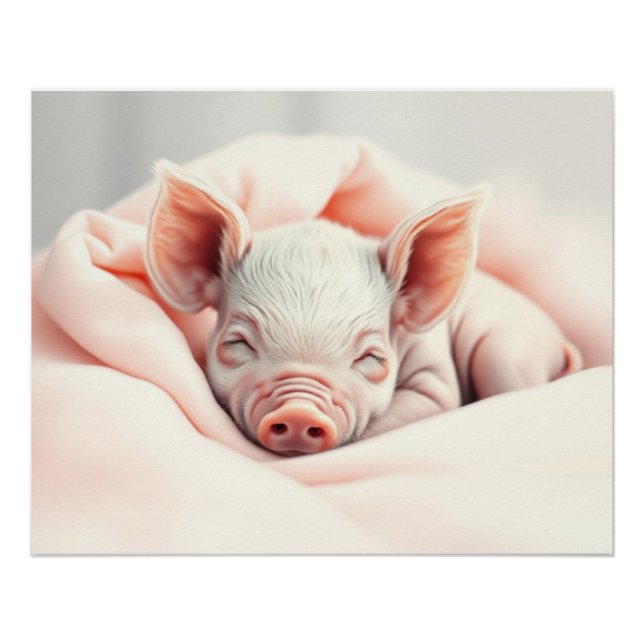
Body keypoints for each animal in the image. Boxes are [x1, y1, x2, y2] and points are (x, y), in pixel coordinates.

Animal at [145, 160, 582, 456]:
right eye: (237, 344)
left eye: (371, 358)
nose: (302, 411)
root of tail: (559, 342)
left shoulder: (435, 379)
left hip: (508, 352)